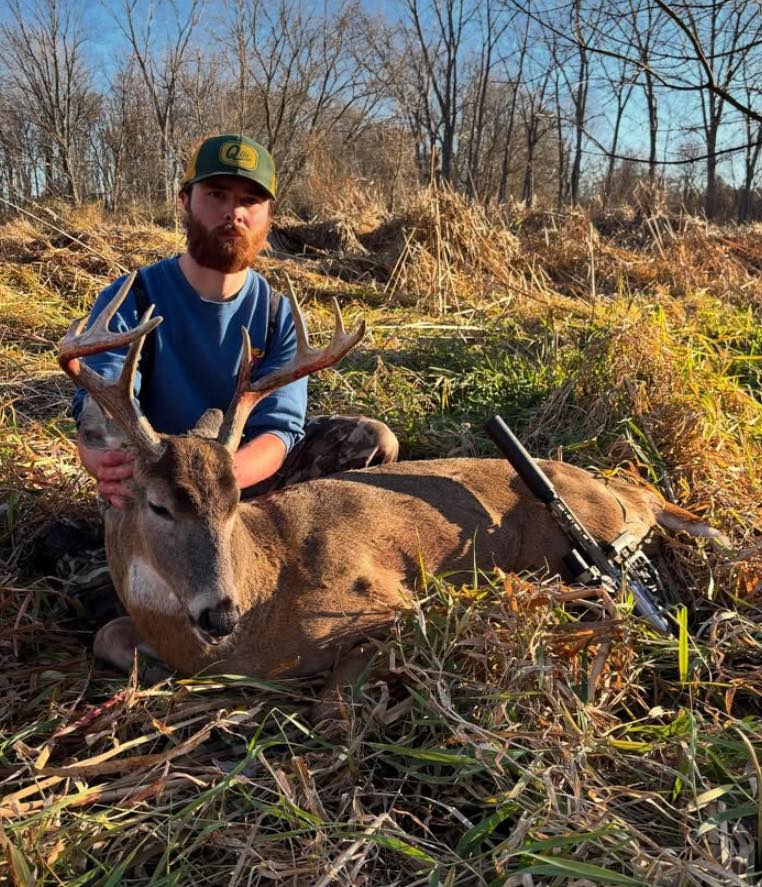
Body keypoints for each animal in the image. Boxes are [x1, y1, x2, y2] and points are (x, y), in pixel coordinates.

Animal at [59, 272, 726, 715]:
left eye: (234, 503)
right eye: (159, 505)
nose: (220, 613)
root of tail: (630, 496)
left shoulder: (385, 600)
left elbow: (334, 700)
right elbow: (108, 636)